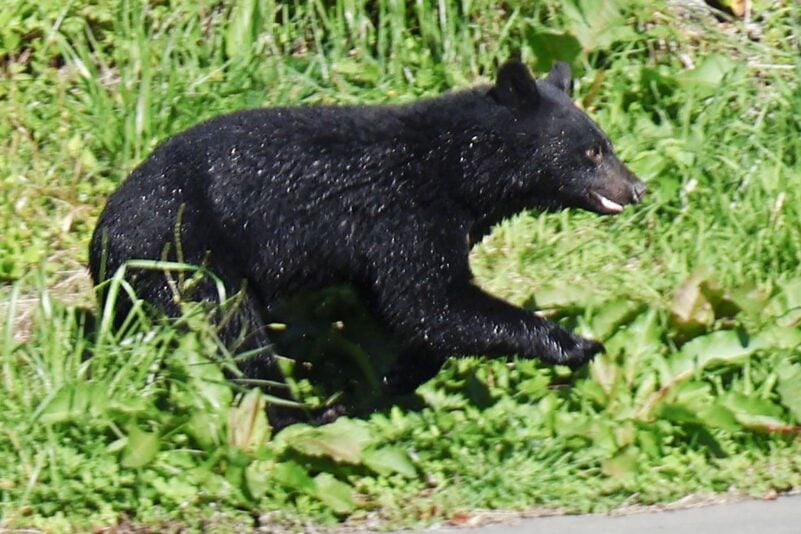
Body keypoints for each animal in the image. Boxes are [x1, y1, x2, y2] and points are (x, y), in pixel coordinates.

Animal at [89, 60, 645, 424]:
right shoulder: (405, 213)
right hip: (183, 254)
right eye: (592, 151)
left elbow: (405, 313)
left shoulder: (381, 246)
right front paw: (577, 343)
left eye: (607, 143)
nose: (637, 187)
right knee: (235, 330)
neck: (457, 168)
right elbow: (430, 302)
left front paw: (384, 386)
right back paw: (298, 414)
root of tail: (101, 238)